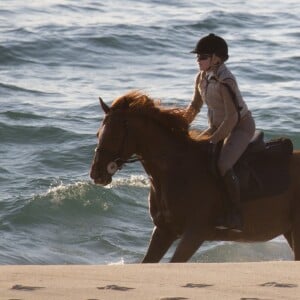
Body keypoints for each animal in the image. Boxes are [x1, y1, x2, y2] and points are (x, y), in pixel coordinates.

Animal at [90, 91, 300, 262]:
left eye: (113, 135)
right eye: (98, 134)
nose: (96, 173)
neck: (174, 170)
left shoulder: (195, 234)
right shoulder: (164, 231)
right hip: (290, 231)